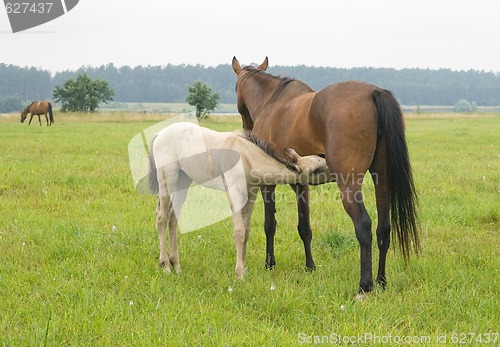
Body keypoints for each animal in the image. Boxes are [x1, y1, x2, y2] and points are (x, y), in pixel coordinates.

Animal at [232, 57, 420, 296]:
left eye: (236, 88)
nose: (247, 128)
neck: (272, 102)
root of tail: (374, 92)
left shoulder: (269, 184)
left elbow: (269, 224)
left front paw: (270, 263)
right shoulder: (301, 183)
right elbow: (304, 227)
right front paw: (310, 267)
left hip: (349, 185)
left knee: (364, 225)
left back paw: (365, 286)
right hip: (383, 181)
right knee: (383, 228)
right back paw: (381, 281)